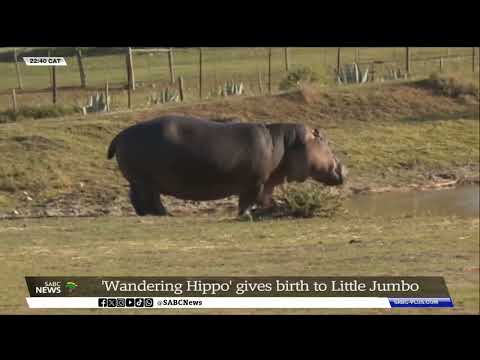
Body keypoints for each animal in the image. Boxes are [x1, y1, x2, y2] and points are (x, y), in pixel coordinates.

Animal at [108, 115, 344, 217]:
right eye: (324, 139)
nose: (343, 167)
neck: (286, 142)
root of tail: (120, 134)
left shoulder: (266, 181)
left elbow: (266, 199)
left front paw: (278, 209)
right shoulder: (255, 182)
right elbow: (249, 200)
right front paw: (246, 215)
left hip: (142, 181)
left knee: (140, 198)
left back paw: (156, 214)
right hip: (145, 180)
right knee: (146, 198)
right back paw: (162, 215)